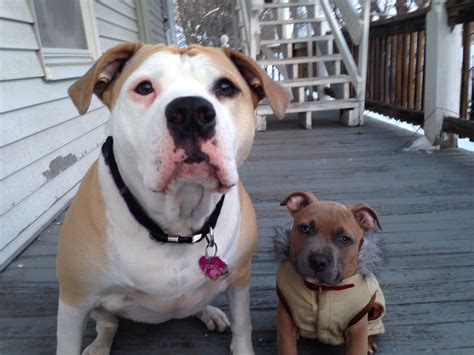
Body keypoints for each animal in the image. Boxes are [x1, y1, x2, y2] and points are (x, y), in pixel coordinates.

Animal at [57, 43, 290, 354]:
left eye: (226, 87)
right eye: (144, 87)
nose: (191, 111)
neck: (178, 223)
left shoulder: (240, 278)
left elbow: (244, 326)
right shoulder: (74, 301)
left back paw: (210, 313)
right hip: (96, 307)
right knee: (108, 323)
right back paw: (99, 345)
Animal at [274, 192, 386, 355]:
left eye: (344, 239)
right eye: (305, 228)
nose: (318, 261)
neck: (320, 288)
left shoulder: (357, 330)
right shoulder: (285, 320)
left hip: (375, 309)